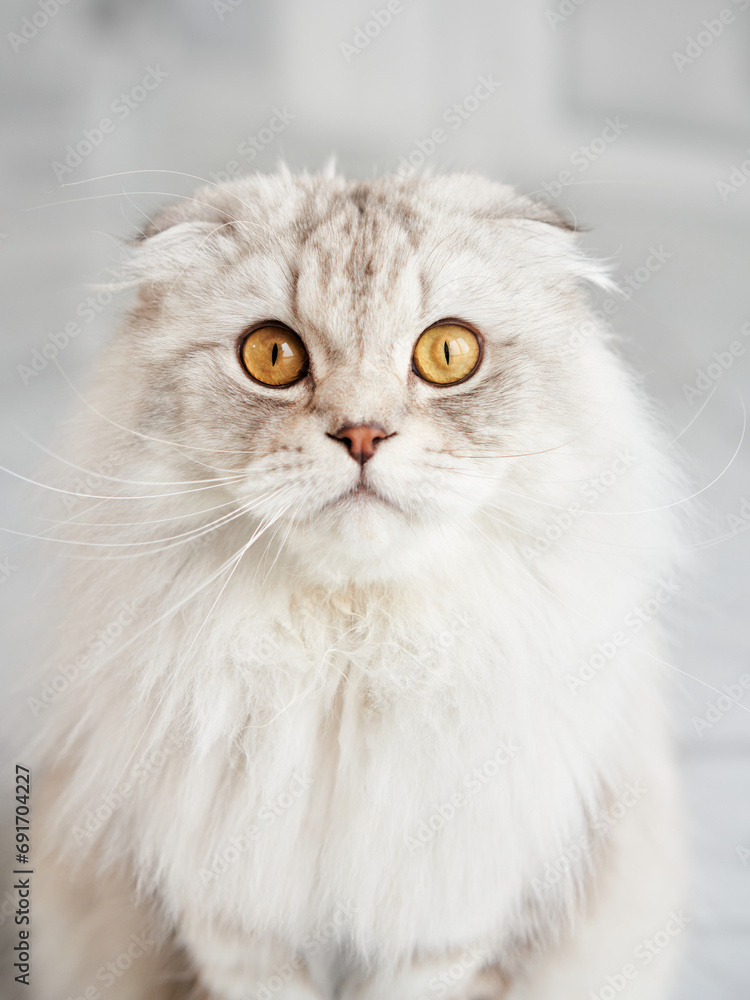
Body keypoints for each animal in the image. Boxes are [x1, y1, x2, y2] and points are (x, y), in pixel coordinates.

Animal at [27, 166, 688, 1000]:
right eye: (271, 356)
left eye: (449, 353)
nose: (363, 435)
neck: (353, 656)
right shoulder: (233, 925)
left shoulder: (453, 928)